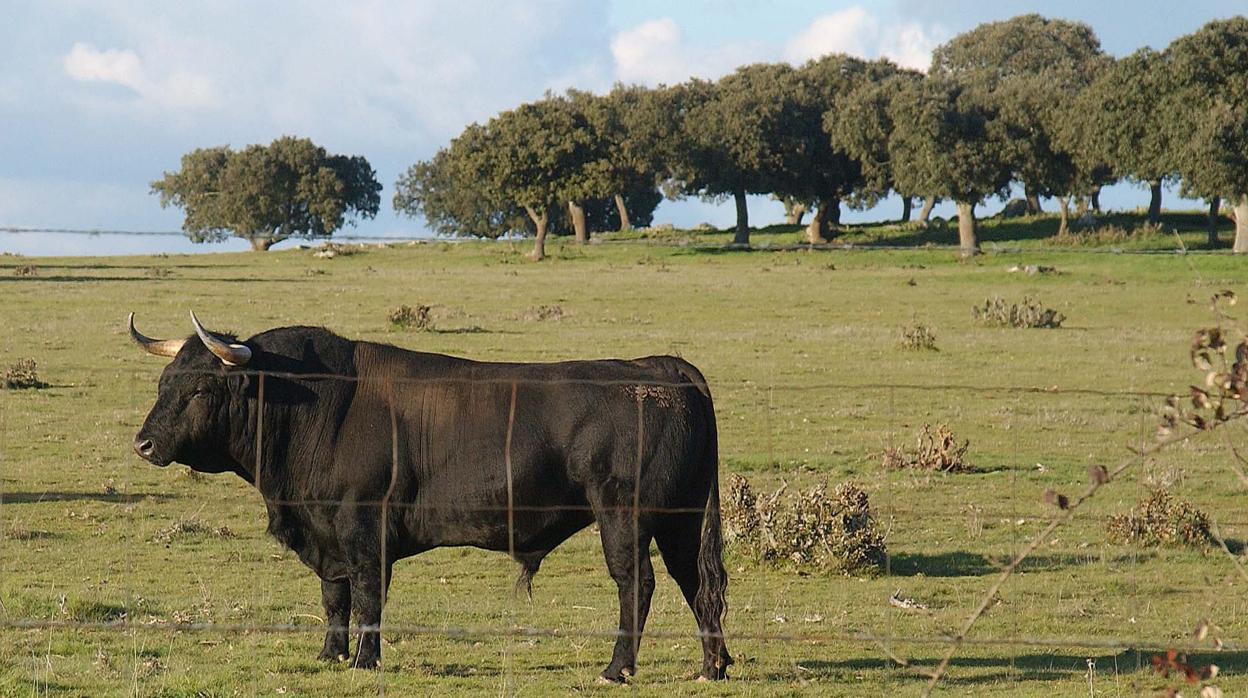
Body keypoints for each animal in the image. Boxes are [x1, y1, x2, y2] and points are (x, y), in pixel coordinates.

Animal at [129, 318, 728, 684]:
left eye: (201, 388)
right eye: (164, 382)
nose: (144, 444)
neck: (318, 404)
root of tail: (660, 367)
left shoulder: (364, 529)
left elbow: (367, 597)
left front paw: (364, 660)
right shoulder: (328, 536)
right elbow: (334, 598)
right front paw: (329, 654)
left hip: (623, 517)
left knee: (637, 584)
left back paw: (617, 667)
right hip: (679, 522)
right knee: (696, 585)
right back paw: (714, 665)